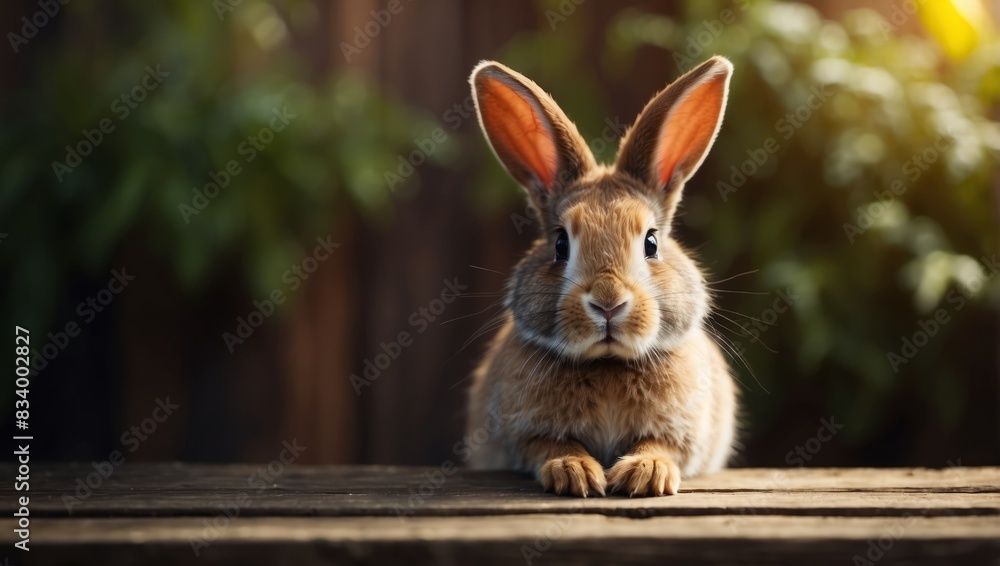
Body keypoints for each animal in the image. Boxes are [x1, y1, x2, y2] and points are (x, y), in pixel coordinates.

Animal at [465, 56, 738, 497]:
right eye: (561, 243)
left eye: (651, 243)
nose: (608, 303)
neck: (608, 364)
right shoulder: (524, 436)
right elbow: (552, 446)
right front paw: (574, 472)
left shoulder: (685, 435)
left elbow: (660, 445)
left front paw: (646, 474)